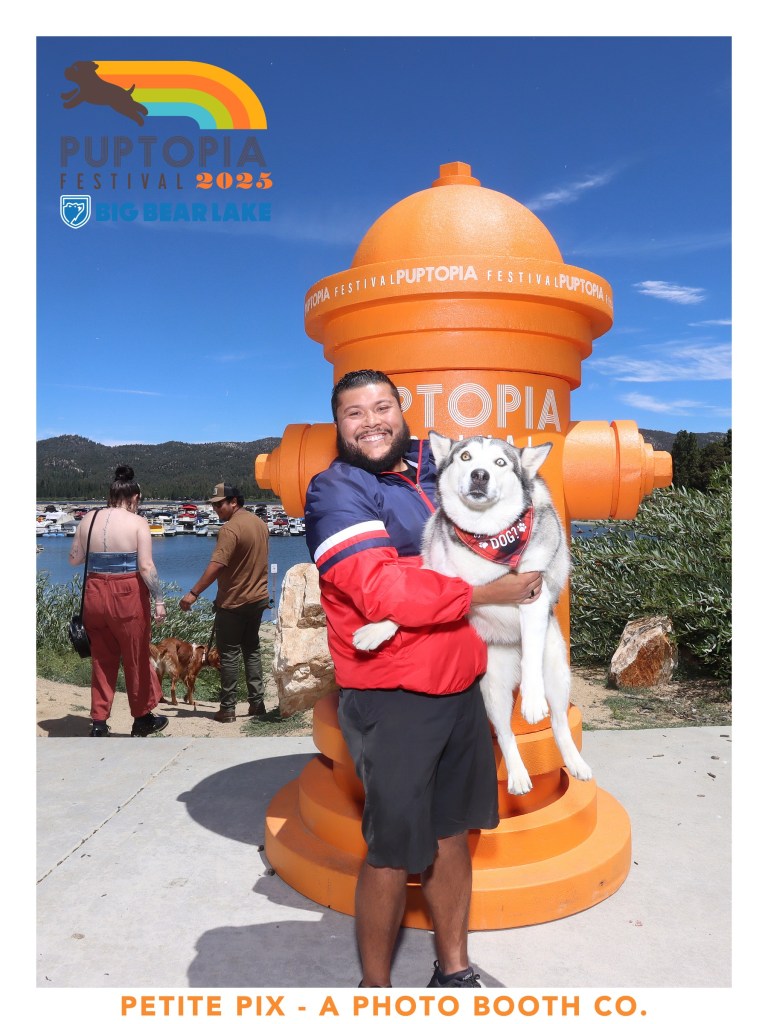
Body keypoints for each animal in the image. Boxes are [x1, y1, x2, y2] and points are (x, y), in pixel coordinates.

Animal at [353, 431, 592, 795]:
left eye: (500, 462)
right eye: (465, 457)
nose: (480, 475)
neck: (488, 536)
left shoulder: (533, 596)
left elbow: (532, 655)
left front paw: (532, 700)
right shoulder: (438, 574)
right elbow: (412, 598)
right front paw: (378, 628)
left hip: (556, 674)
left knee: (559, 722)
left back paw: (574, 761)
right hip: (492, 688)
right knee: (505, 733)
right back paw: (518, 776)